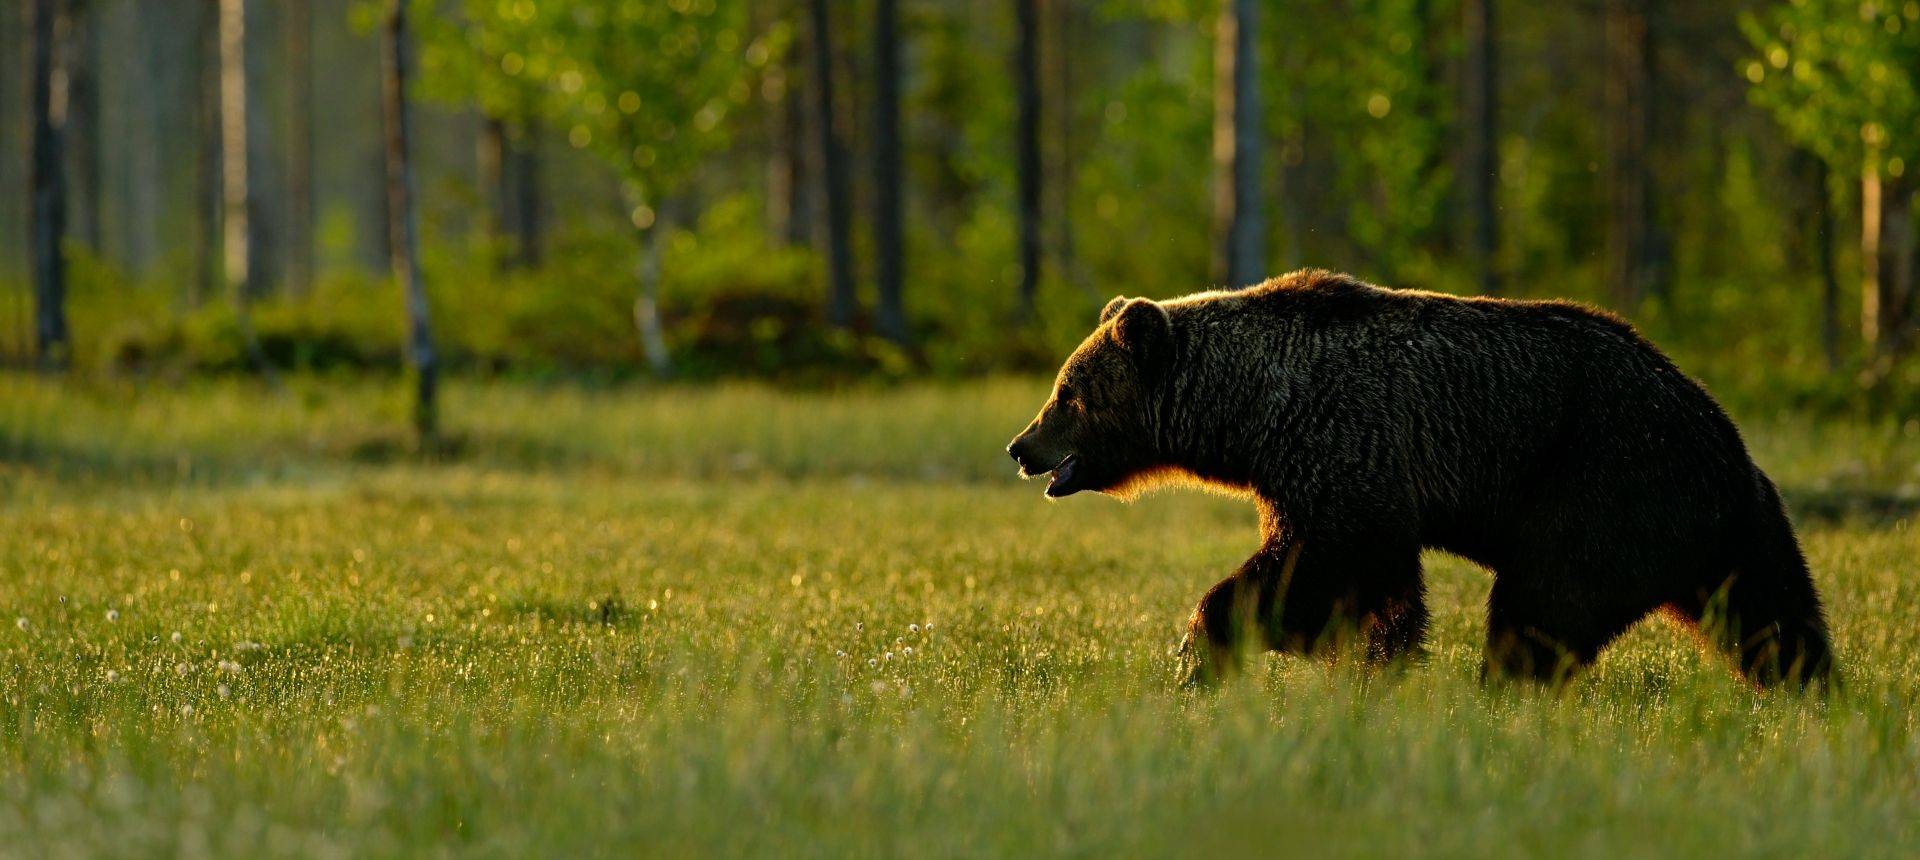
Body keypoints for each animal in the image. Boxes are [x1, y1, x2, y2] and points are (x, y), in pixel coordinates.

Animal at [1006, 272, 1827, 687]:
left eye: (1068, 392)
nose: (1021, 446)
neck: (1253, 411)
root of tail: (1720, 434)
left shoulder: (1344, 445)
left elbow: (1321, 563)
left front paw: (1210, 644)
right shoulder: (1326, 471)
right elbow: (1378, 582)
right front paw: (1376, 654)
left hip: (1607, 484)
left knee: (1540, 605)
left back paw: (1504, 686)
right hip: (1728, 524)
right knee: (1774, 611)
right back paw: (1813, 691)